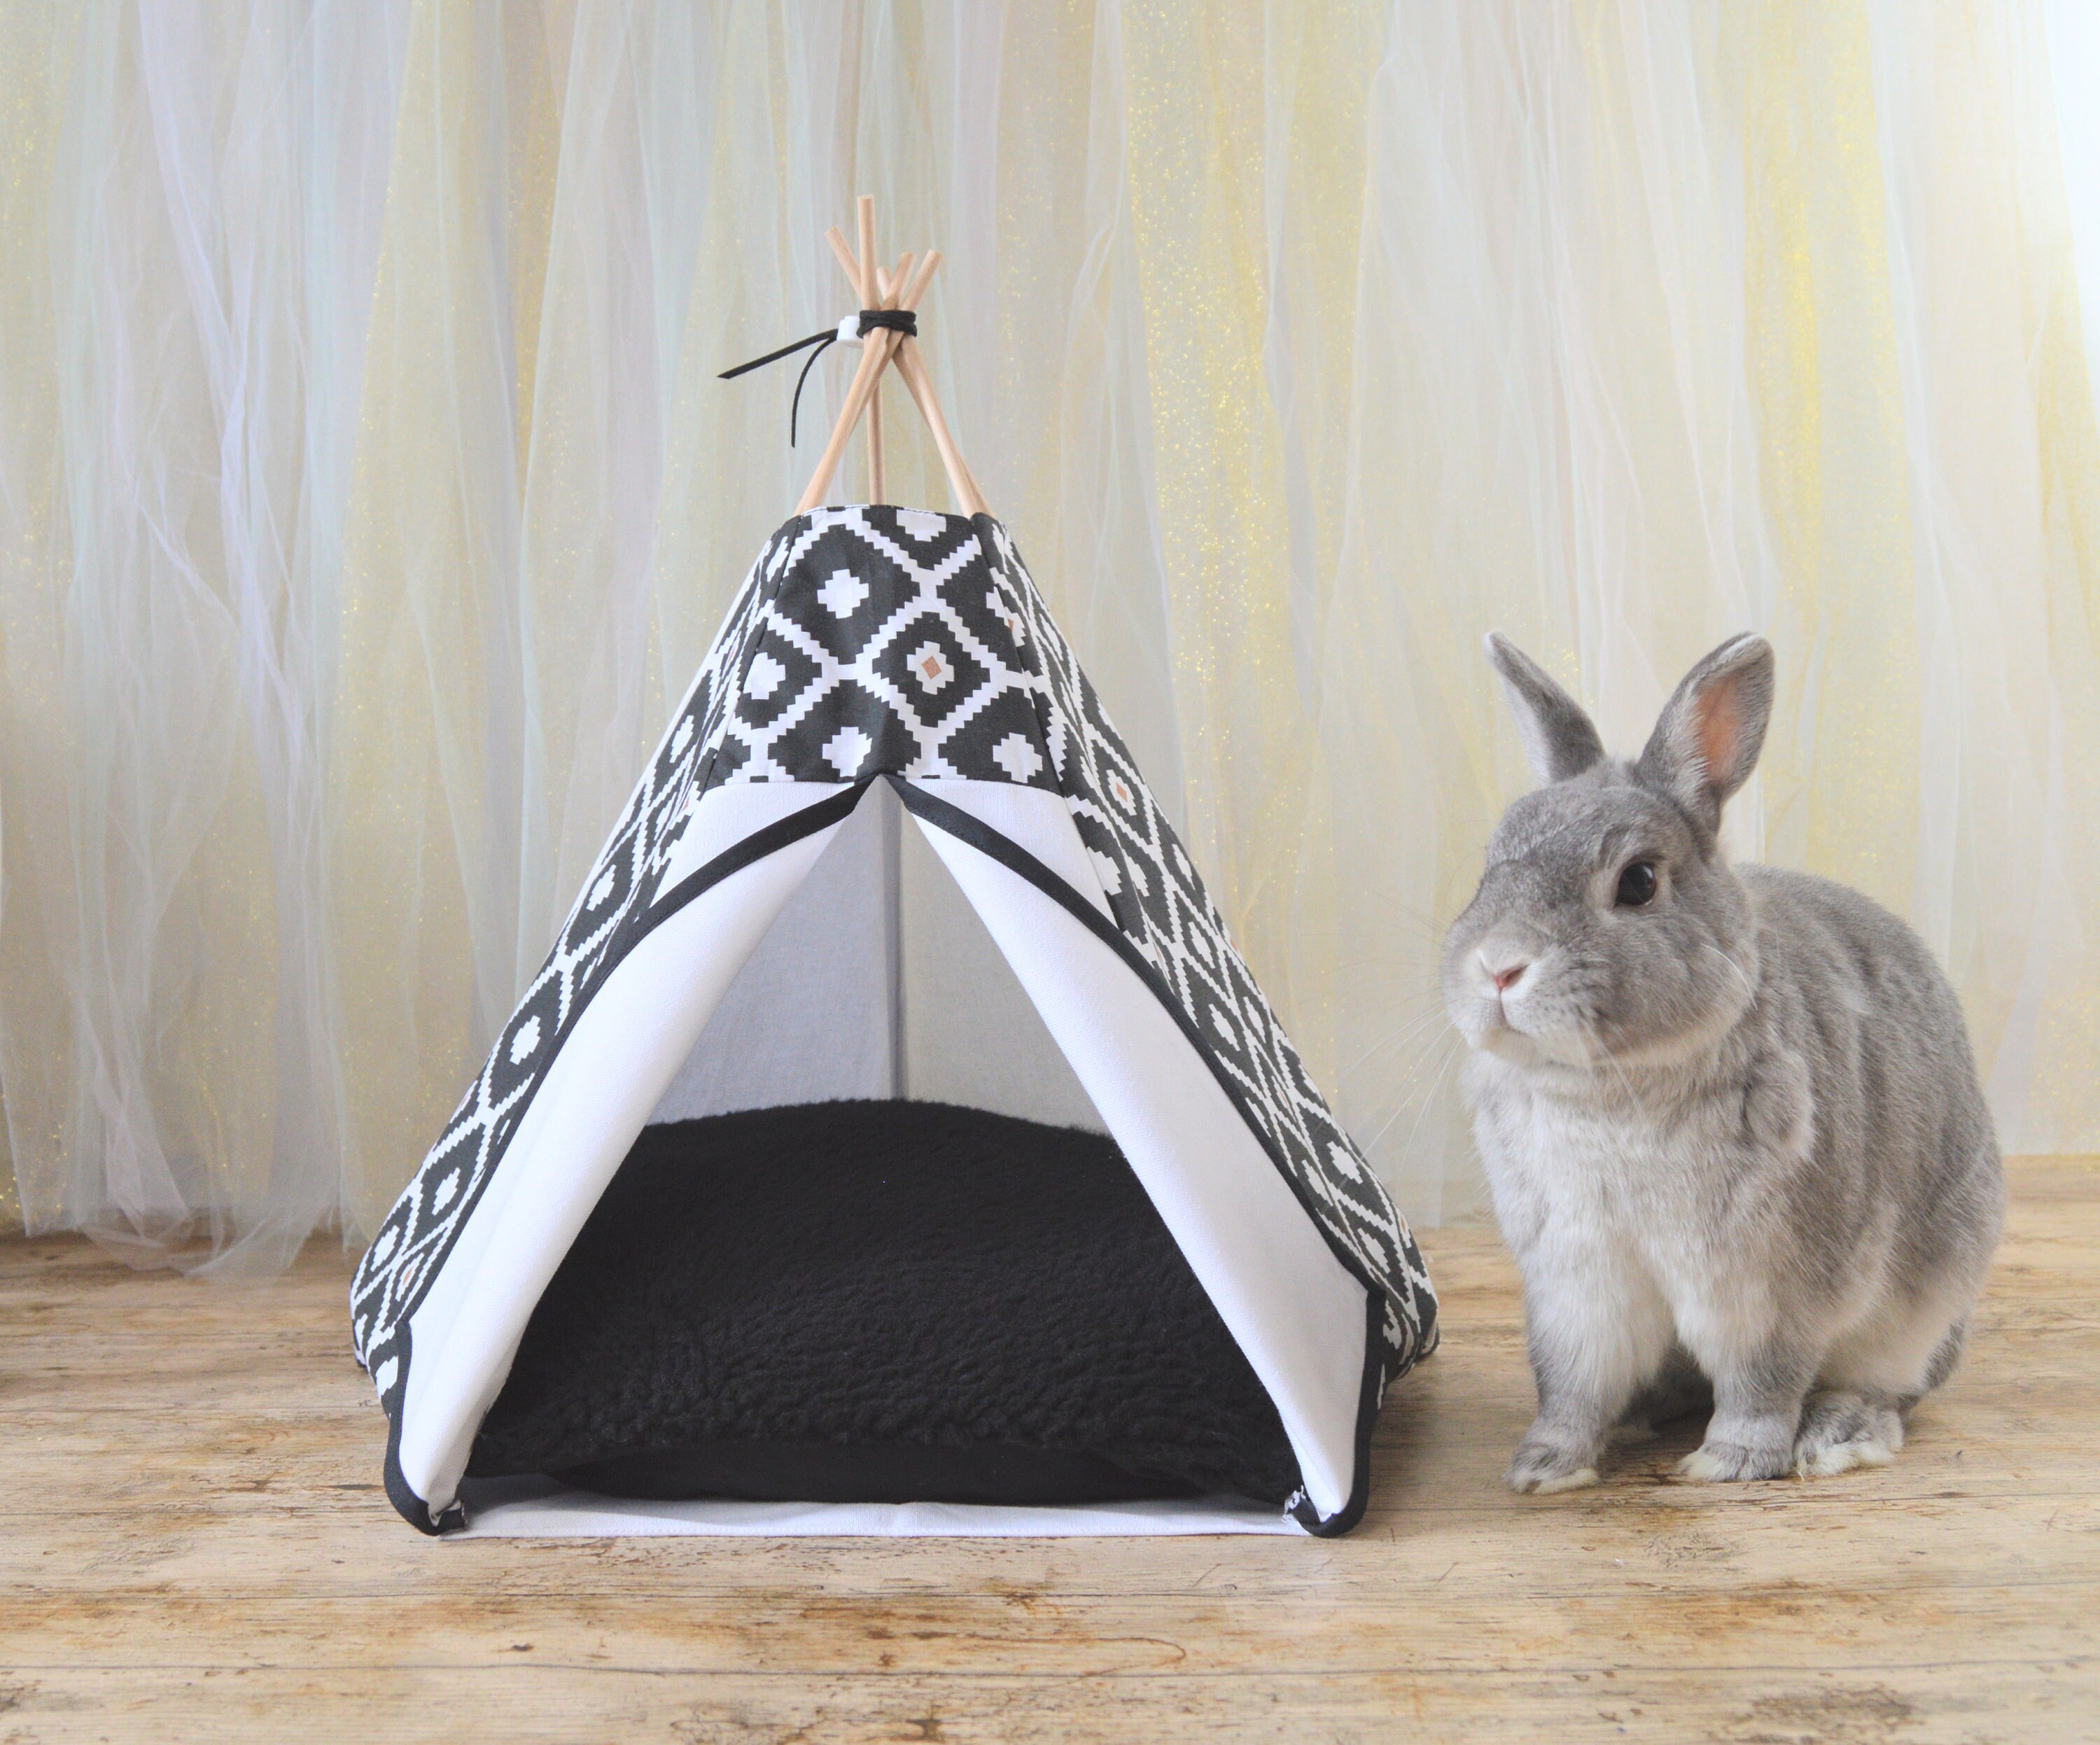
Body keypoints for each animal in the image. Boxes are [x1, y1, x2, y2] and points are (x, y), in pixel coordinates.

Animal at [1442, 631, 2003, 1493]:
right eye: (1488, 867)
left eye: (1639, 881)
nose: (1500, 967)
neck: (1610, 1088)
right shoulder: (1575, 1282)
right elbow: (1571, 1381)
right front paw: (1544, 1469)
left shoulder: (1764, 1286)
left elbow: (1760, 1379)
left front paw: (1729, 1464)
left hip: (1923, 1306)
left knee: (1894, 1386)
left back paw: (1838, 1433)